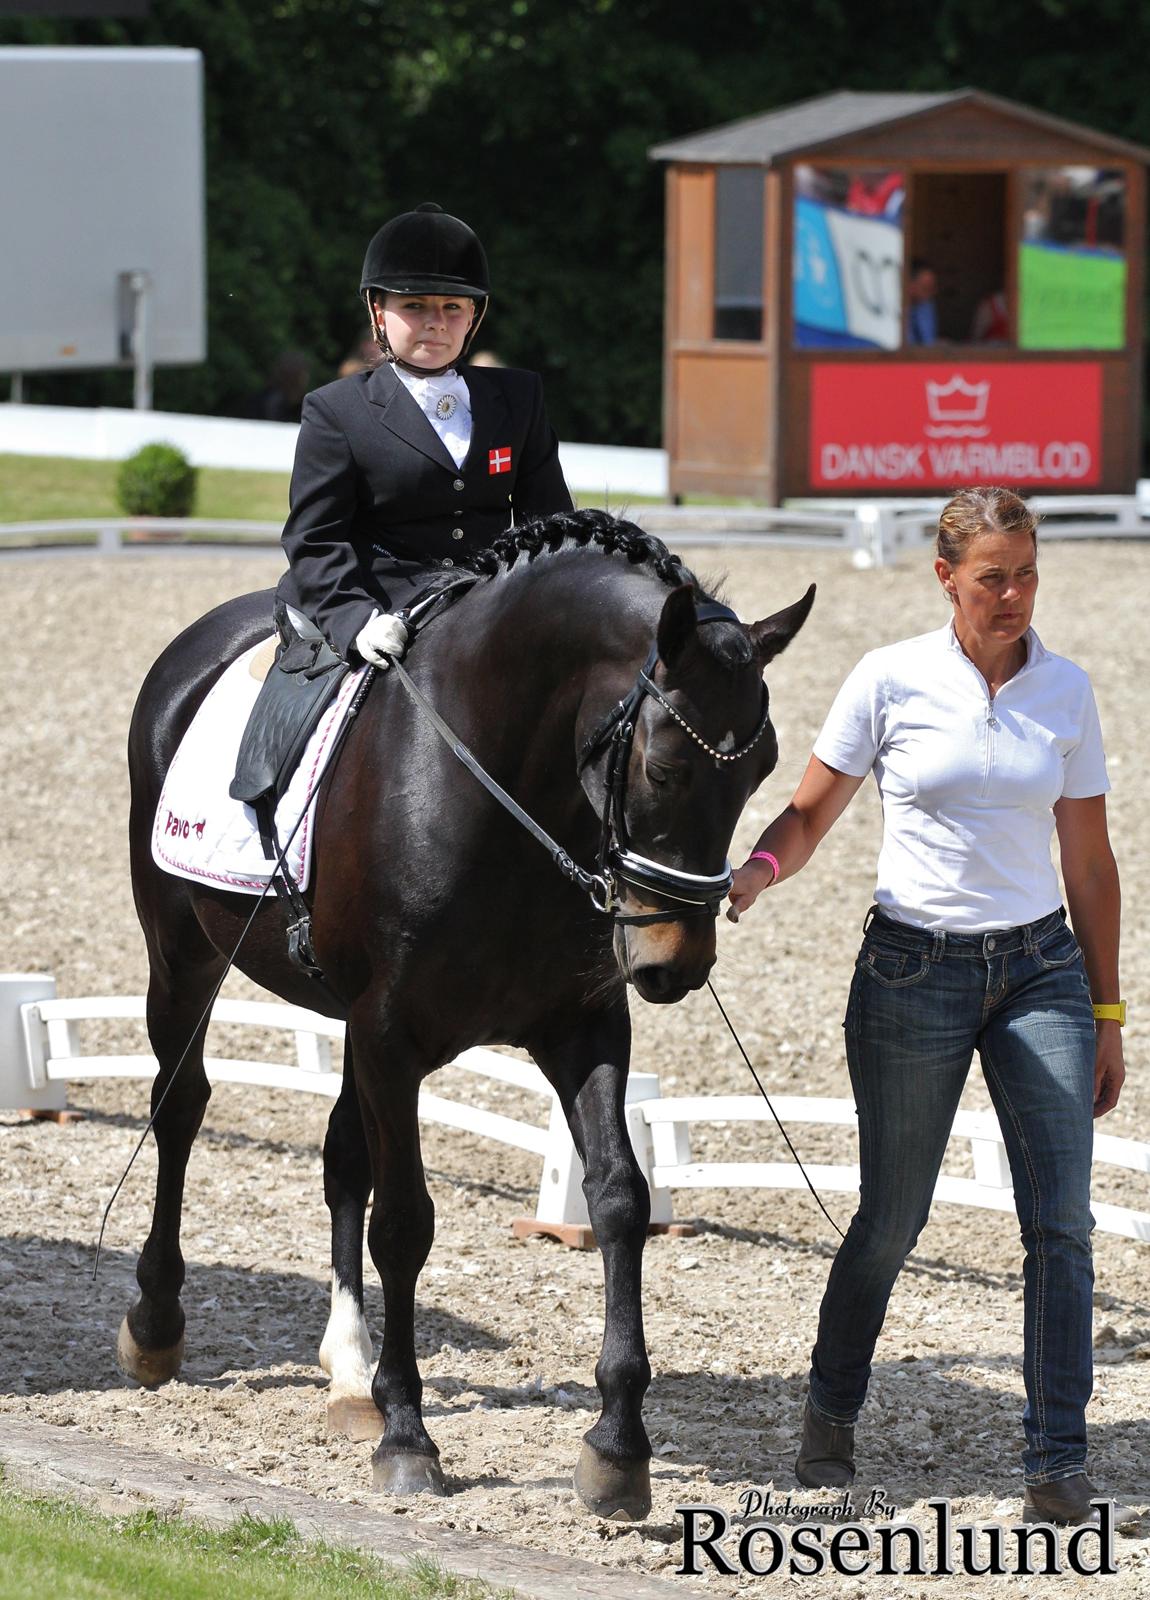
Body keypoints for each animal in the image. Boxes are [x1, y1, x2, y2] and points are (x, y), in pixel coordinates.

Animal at [121, 505, 815, 1516]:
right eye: (664, 766)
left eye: (762, 767)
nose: (674, 963)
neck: (510, 786)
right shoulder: (390, 1035)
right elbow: (406, 1221)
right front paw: (410, 1437)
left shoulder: (578, 1029)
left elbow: (619, 1200)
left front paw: (618, 1448)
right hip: (183, 955)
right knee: (180, 1108)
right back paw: (157, 1323)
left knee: (340, 1158)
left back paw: (348, 1372)